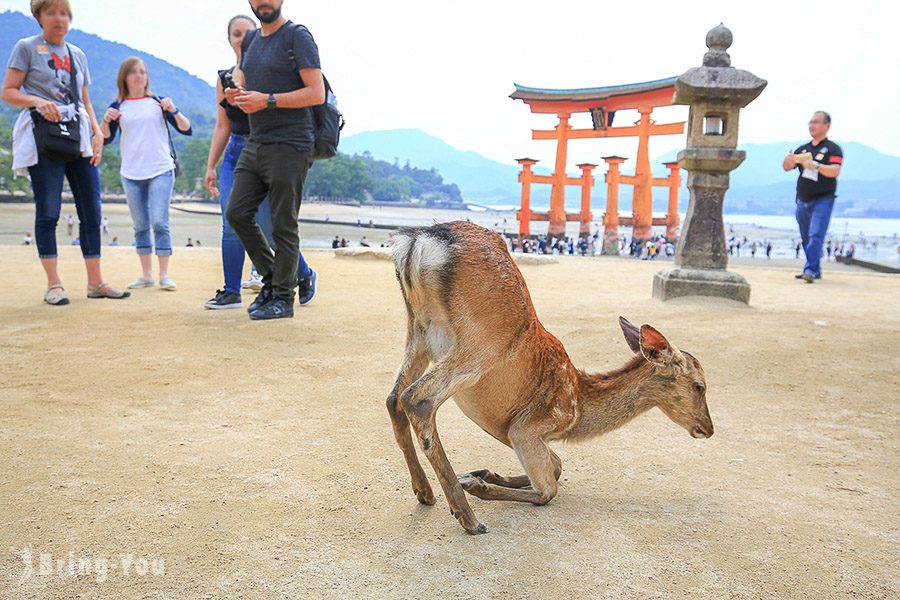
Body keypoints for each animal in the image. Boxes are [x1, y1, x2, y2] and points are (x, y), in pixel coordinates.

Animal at [384, 221, 712, 536]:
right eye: (700, 386)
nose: (708, 428)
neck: (578, 409)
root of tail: (419, 241)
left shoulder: (511, 431)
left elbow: (557, 465)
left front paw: (483, 474)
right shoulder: (526, 428)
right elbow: (549, 488)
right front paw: (476, 482)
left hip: (420, 332)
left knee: (393, 397)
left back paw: (425, 492)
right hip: (481, 345)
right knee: (417, 397)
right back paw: (468, 517)